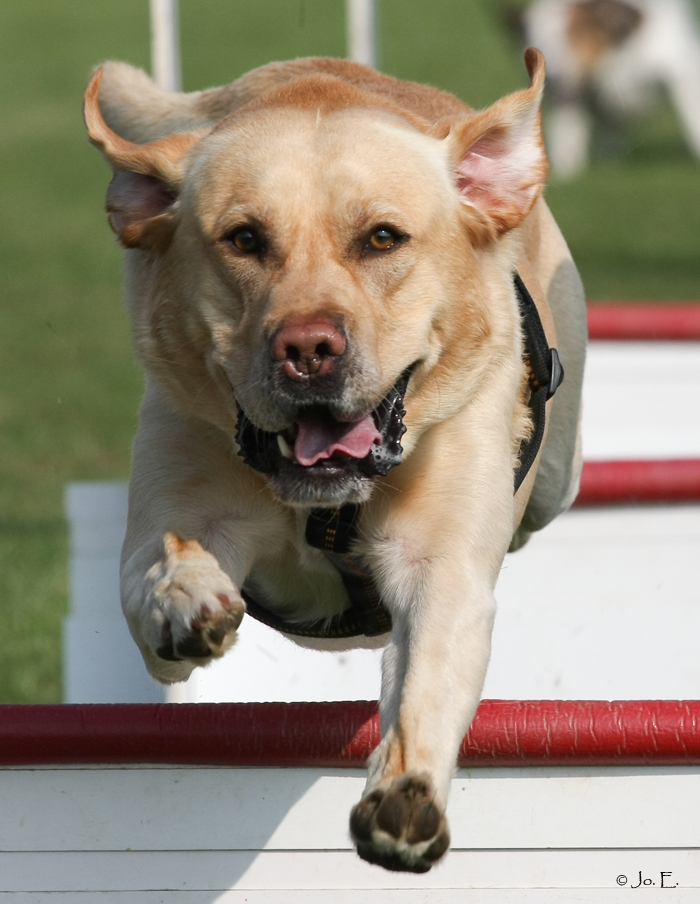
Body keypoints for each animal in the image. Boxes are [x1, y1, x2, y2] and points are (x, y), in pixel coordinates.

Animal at [83, 51, 584, 876]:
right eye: (244, 239)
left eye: (382, 238)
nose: (308, 348)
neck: (324, 500)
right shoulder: (172, 510)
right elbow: (164, 565)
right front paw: (190, 598)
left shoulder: (440, 568)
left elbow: (425, 682)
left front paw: (405, 796)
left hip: (556, 473)